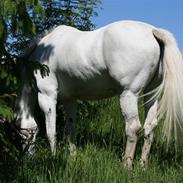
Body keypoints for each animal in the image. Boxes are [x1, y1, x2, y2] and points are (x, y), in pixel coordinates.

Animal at [13, 20, 183, 169]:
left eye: (21, 133)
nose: (28, 158)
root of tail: (152, 31)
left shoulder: (47, 96)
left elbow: (51, 131)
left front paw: (54, 158)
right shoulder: (70, 100)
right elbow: (71, 129)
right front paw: (73, 156)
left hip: (129, 94)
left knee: (133, 128)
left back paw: (126, 166)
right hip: (150, 95)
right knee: (150, 127)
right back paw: (142, 166)